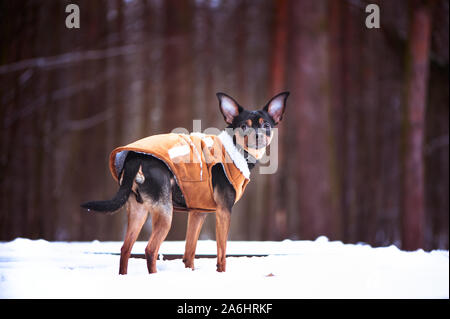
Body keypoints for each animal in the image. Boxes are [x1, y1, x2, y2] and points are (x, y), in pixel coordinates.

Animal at [81, 92, 288, 276]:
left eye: (266, 125)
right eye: (244, 126)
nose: (258, 136)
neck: (236, 151)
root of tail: (134, 157)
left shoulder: (198, 213)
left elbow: (189, 253)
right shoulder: (224, 211)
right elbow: (221, 254)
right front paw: (221, 274)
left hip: (139, 210)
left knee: (125, 249)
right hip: (165, 212)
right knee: (150, 250)